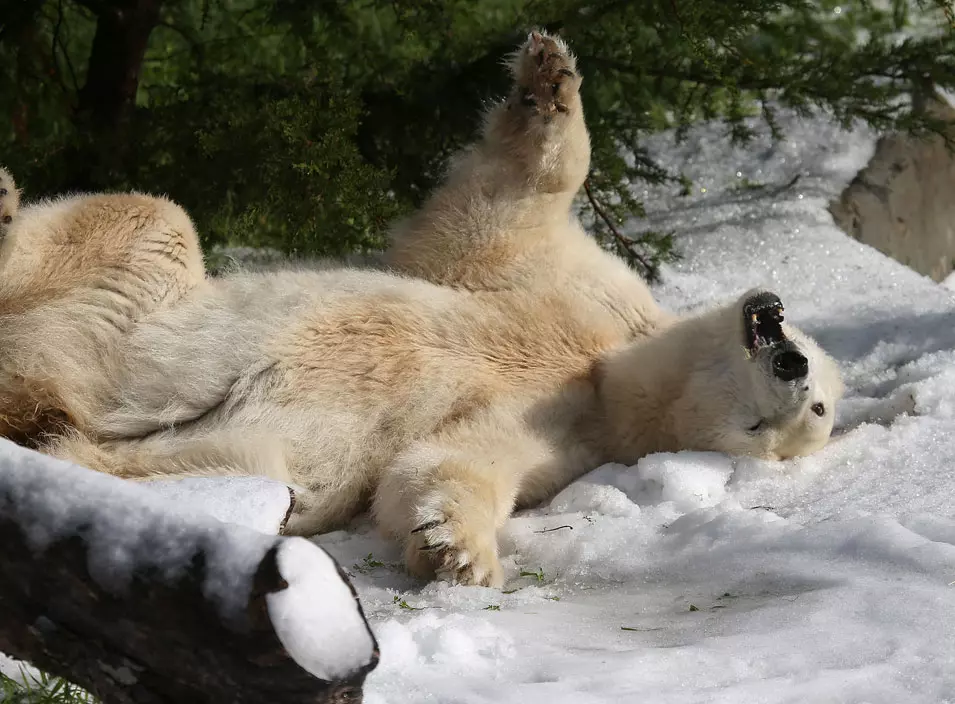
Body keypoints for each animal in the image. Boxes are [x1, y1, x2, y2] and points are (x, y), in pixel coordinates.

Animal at [0, 33, 844, 584]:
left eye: (790, 421)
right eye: (817, 403)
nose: (790, 361)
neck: (607, 371)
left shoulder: (569, 435)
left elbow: (443, 464)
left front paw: (458, 550)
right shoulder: (567, 290)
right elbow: (501, 206)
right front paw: (549, 75)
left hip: (176, 419)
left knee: (220, 461)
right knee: (151, 219)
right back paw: (6, 207)